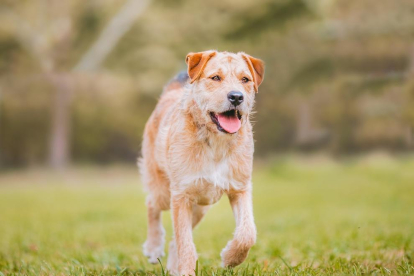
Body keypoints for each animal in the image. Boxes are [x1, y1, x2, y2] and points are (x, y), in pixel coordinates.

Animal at [137, 50, 264, 274]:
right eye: (215, 77)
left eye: (245, 80)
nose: (236, 97)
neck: (216, 142)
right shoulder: (181, 196)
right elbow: (186, 244)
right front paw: (187, 271)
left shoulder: (239, 188)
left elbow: (247, 233)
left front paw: (230, 258)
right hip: (164, 191)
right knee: (152, 204)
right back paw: (153, 247)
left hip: (201, 206)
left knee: (174, 240)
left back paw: (172, 267)